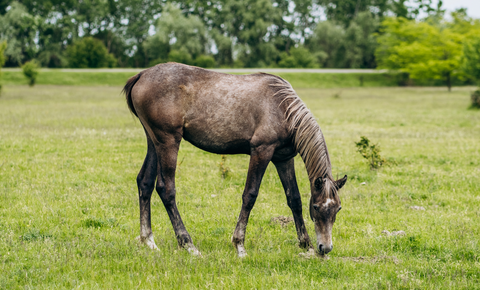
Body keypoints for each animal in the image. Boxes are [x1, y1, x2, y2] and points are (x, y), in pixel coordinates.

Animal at [122, 62, 346, 258]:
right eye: (316, 207)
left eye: (338, 208)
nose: (325, 247)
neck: (282, 109)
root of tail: (142, 75)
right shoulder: (261, 152)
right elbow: (250, 195)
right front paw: (239, 245)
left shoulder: (283, 159)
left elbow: (294, 199)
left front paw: (305, 244)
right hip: (168, 141)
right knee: (166, 189)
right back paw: (188, 244)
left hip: (154, 142)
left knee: (145, 182)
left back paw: (149, 241)